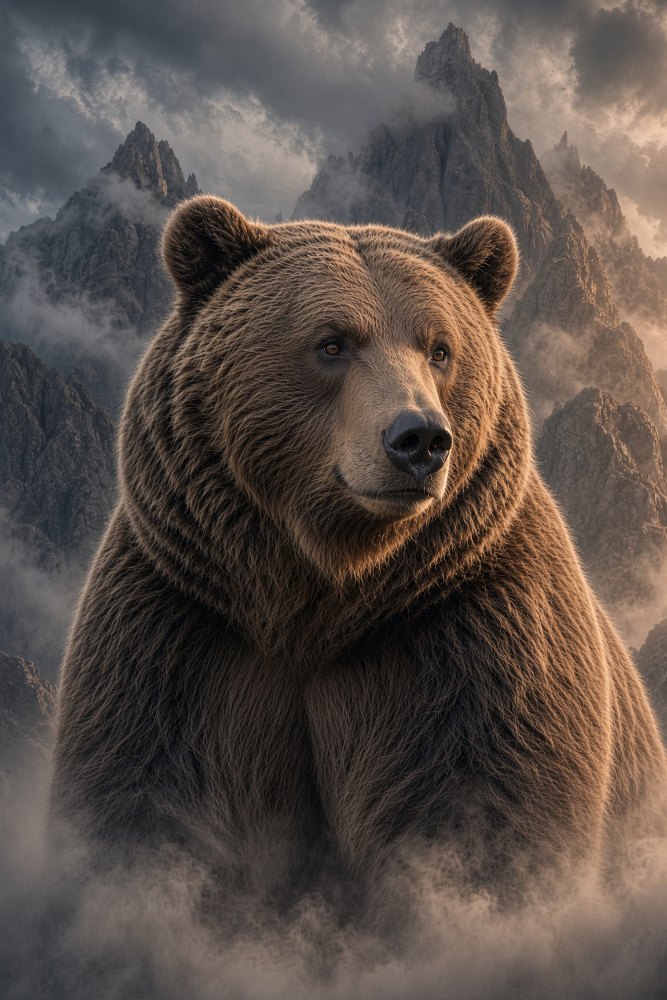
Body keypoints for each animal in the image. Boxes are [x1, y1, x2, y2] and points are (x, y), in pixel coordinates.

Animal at [51, 195, 667, 903]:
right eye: (332, 343)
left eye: (440, 349)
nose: (420, 439)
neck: (323, 595)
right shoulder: (180, 623)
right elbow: (146, 792)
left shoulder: (477, 628)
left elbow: (490, 820)